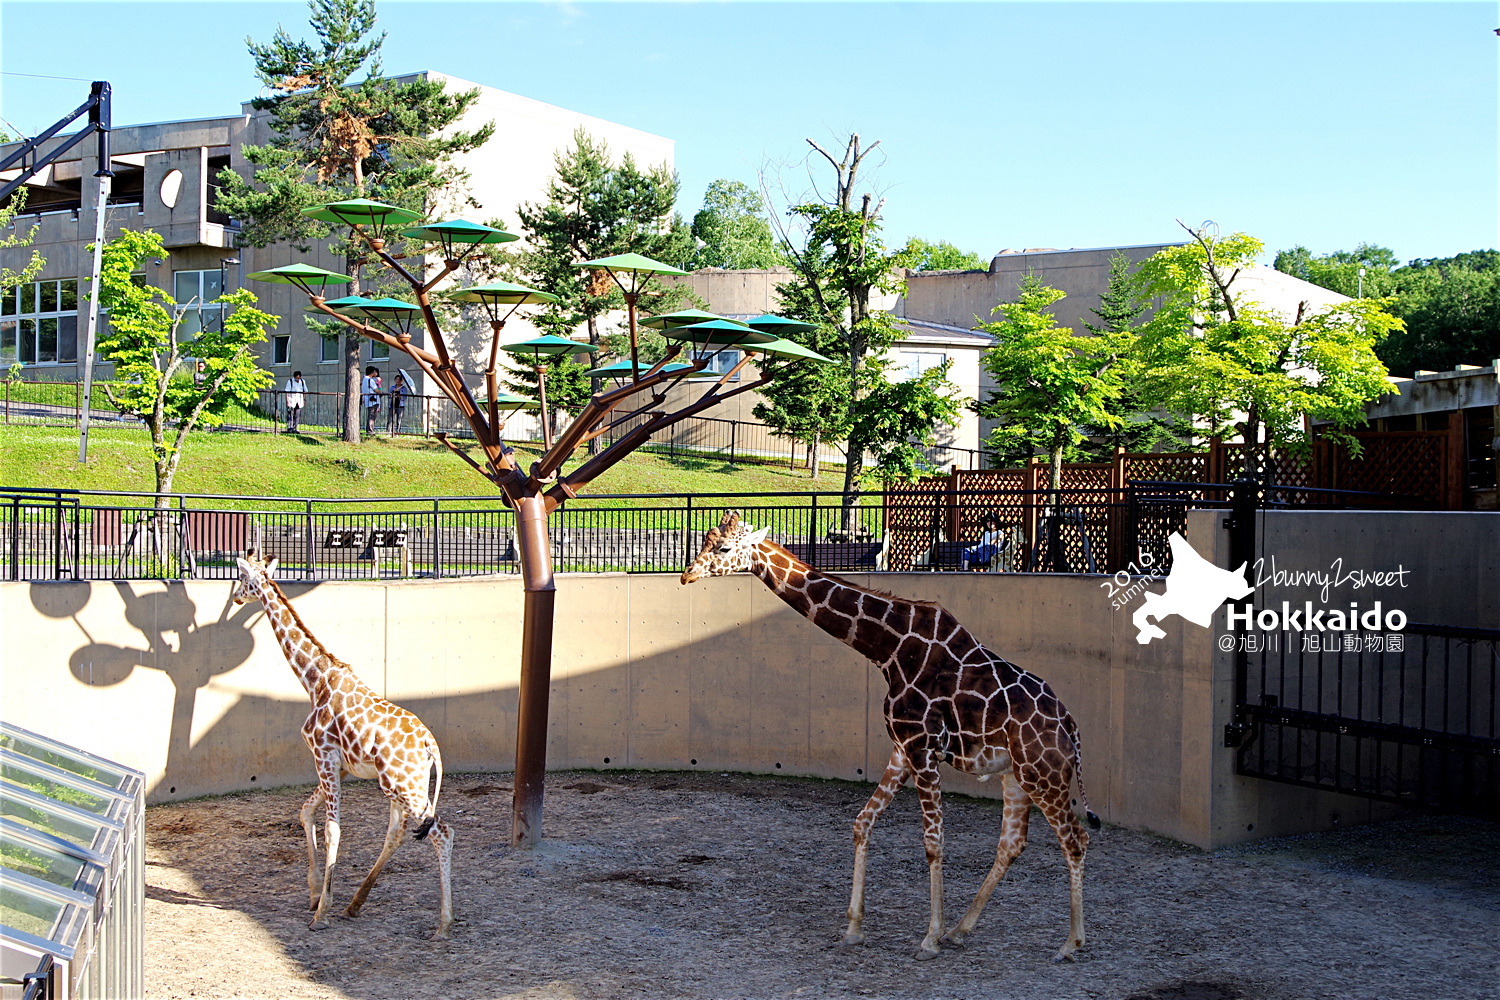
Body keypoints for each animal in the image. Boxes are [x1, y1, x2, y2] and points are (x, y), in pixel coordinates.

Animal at [228, 554, 450, 941]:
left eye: (243, 577)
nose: (237, 597)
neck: (314, 679)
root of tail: (430, 745)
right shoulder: (340, 764)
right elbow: (305, 811)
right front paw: (316, 893)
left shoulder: (323, 755)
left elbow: (333, 830)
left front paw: (321, 913)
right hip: (401, 784)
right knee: (398, 832)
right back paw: (356, 904)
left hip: (406, 786)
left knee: (441, 832)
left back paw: (443, 924)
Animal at [684, 509, 1104, 959]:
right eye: (705, 539)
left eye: (724, 547)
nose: (687, 575)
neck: (888, 649)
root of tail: (1072, 728)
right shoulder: (902, 748)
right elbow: (862, 823)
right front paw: (854, 927)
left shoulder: (922, 748)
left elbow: (934, 842)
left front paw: (929, 937)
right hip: (1015, 775)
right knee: (1013, 843)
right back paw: (962, 930)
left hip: (1044, 776)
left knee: (1076, 839)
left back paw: (1070, 942)